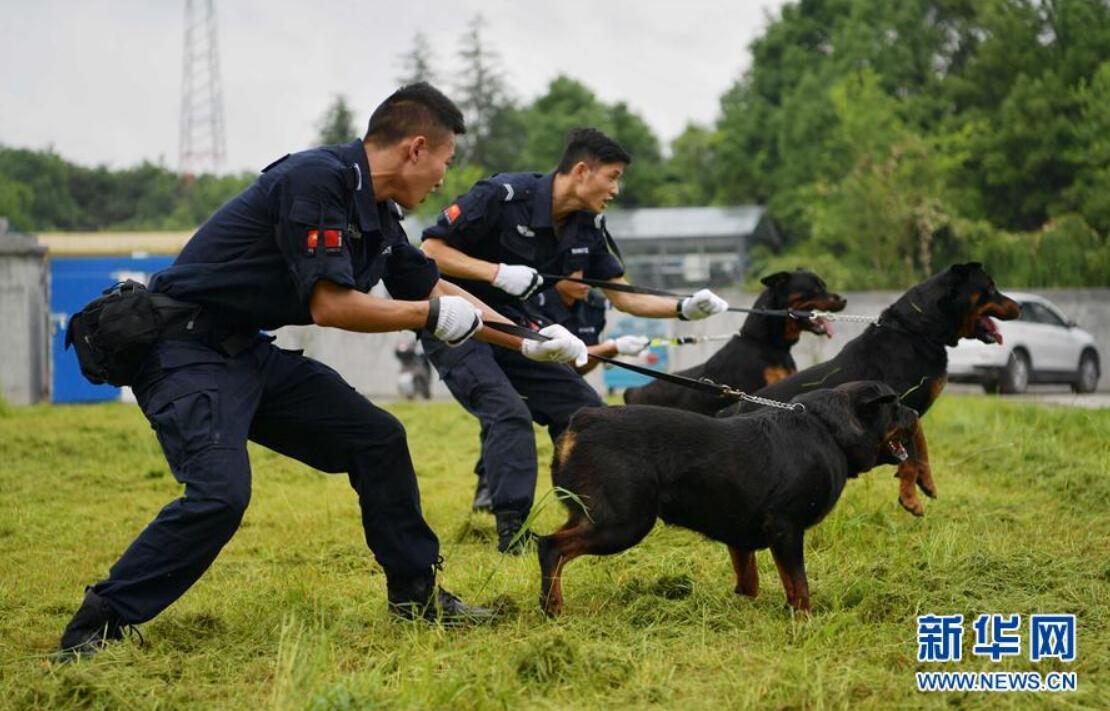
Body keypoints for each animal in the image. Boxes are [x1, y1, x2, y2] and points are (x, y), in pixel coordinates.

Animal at [539, 381, 919, 616]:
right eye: (896, 407)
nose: (915, 414)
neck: (829, 430)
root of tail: (583, 421)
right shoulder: (786, 527)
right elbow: (799, 584)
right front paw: (804, 620)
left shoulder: (742, 536)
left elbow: (750, 580)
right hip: (624, 522)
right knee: (552, 548)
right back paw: (552, 608)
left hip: (592, 514)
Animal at [714, 260, 1016, 514]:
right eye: (991, 289)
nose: (1019, 306)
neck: (918, 330)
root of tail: (722, 414)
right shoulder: (900, 405)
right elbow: (911, 451)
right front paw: (909, 497)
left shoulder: (910, 410)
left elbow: (920, 444)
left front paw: (926, 482)